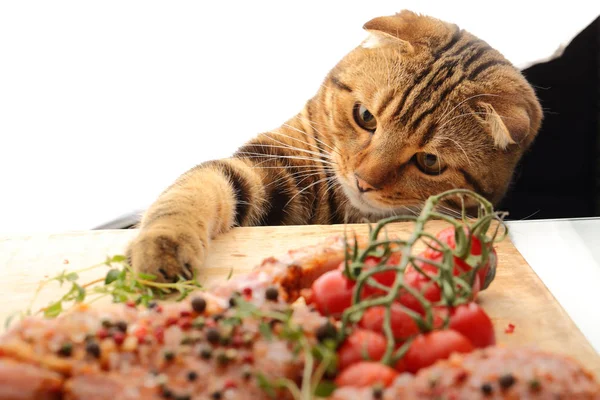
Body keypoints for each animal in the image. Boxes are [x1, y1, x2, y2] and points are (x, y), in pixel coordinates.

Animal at [126, 9, 544, 282]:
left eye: (429, 161)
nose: (363, 180)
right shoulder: (268, 163)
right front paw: (162, 244)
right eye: (366, 117)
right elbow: (194, 190)